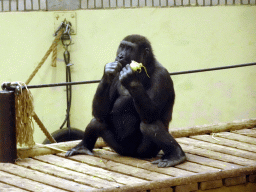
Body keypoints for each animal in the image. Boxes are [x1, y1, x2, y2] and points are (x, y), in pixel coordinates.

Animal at [65, 35, 186, 168]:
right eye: (122, 47)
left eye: (129, 48)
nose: (120, 56)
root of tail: (131, 155)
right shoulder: (117, 74)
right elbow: (100, 113)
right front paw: (107, 72)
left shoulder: (161, 76)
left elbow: (151, 115)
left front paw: (131, 79)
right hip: (119, 149)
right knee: (97, 121)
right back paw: (83, 146)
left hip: (146, 152)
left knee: (149, 125)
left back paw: (176, 155)